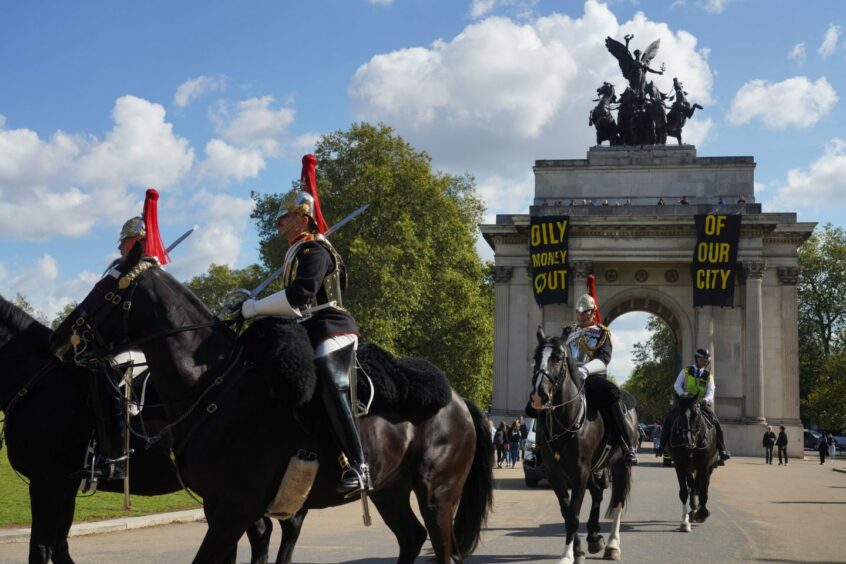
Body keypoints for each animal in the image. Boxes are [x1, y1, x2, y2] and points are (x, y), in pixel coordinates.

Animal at [49, 247, 494, 564]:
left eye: (107, 291)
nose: (61, 336)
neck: (211, 387)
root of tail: (458, 399)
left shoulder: (233, 510)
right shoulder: (221, 509)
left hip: (437, 494)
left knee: (440, 549)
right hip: (390, 490)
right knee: (411, 538)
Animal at [528, 328, 636, 560]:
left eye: (558, 358)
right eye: (536, 357)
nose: (539, 396)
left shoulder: (580, 472)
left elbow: (574, 514)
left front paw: (567, 555)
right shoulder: (556, 474)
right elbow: (567, 512)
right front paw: (576, 550)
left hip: (620, 465)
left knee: (618, 500)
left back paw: (613, 544)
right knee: (598, 492)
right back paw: (594, 536)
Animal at [672, 394, 720, 532]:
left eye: (697, 415)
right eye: (681, 415)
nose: (689, 440)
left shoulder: (705, 466)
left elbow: (703, 489)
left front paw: (702, 513)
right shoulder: (680, 466)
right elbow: (684, 492)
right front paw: (685, 522)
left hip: (709, 466)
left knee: (701, 485)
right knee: (692, 485)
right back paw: (693, 509)